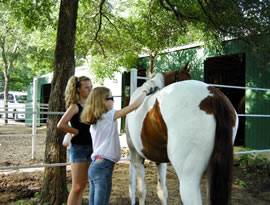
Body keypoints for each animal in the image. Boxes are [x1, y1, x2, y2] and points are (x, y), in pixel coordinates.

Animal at [125, 62, 238, 205]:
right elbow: (162, 192)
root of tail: (213, 97)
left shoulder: (136, 155)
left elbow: (141, 190)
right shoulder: (158, 160)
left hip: (188, 179)